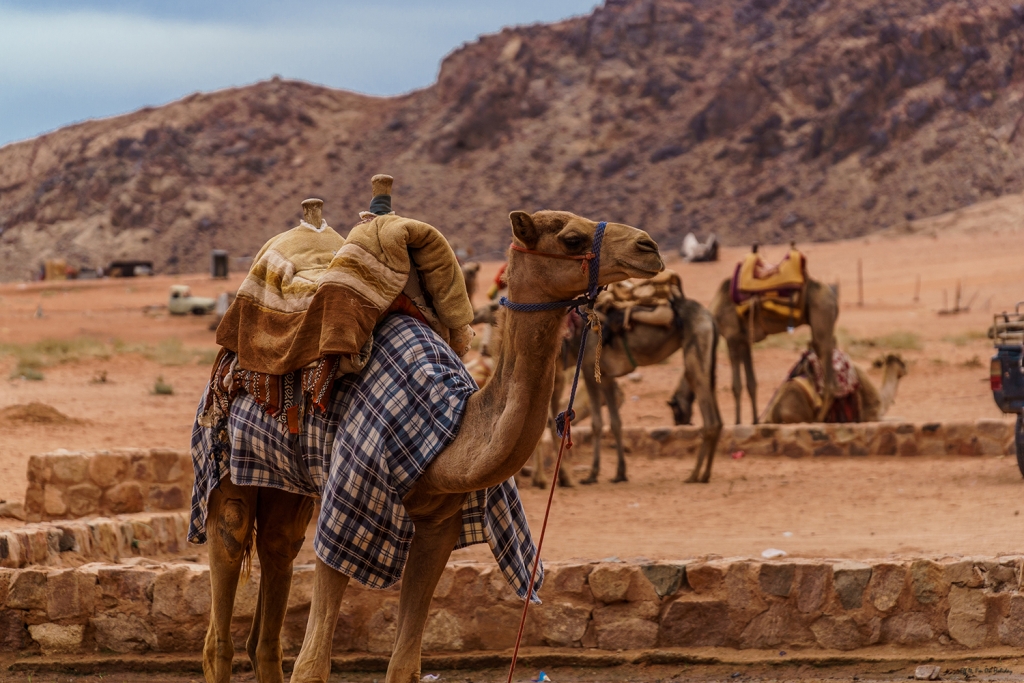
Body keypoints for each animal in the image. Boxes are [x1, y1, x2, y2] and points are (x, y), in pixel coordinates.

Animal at [712, 274, 839, 423]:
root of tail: (832, 296)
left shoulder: (732, 337)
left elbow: (736, 386)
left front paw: (738, 423)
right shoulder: (744, 341)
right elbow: (751, 383)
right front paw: (755, 421)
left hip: (822, 321)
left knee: (830, 383)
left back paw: (817, 420)